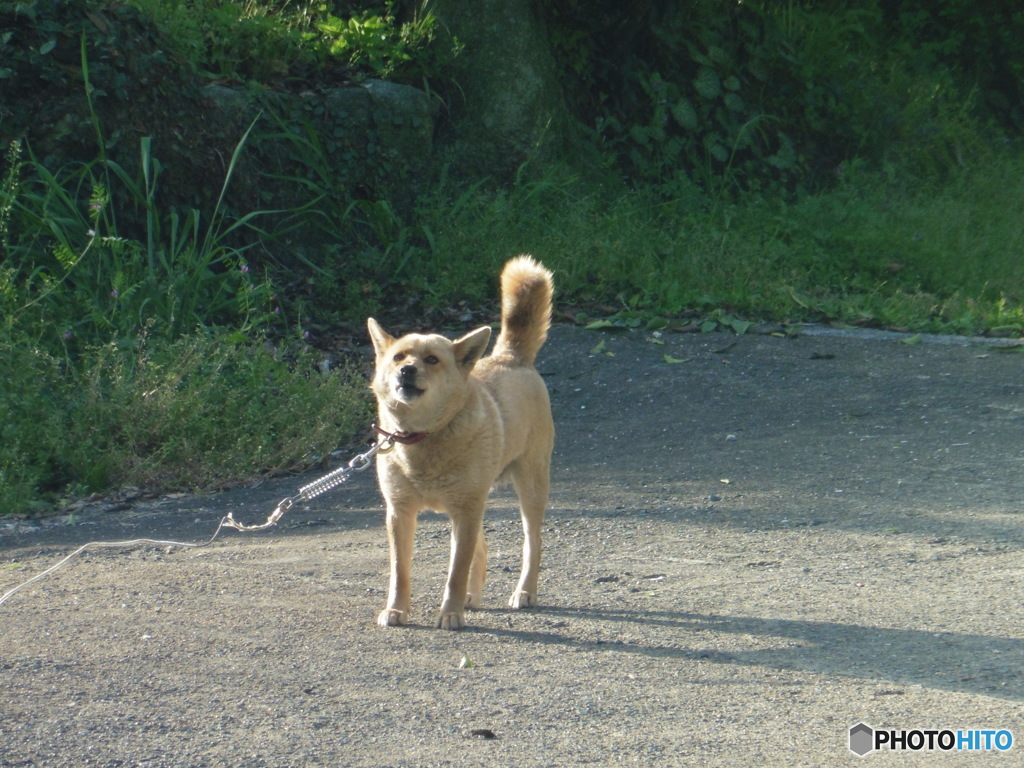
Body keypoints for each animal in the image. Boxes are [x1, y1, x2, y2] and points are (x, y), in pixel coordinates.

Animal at [368, 259, 557, 630]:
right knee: (480, 548)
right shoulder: (400, 512)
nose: (407, 371)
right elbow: (400, 572)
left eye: (432, 360)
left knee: (533, 545)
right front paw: (396, 609)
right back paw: (473, 596)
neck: (422, 436)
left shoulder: (466, 509)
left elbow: (455, 571)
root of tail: (510, 357)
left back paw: (523, 592)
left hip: (528, 489)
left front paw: (450, 614)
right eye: (399, 357)